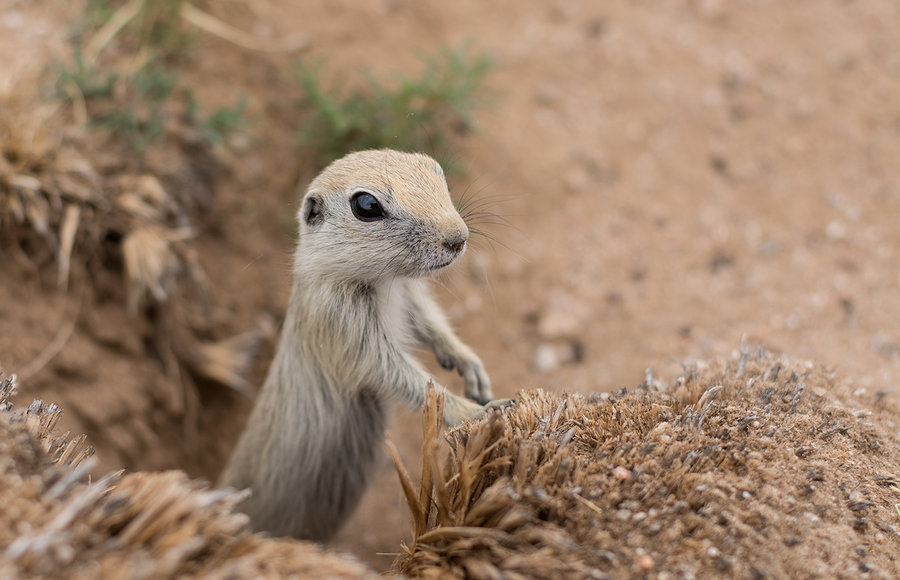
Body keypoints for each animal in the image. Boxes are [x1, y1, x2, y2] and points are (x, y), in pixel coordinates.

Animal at [221, 148, 496, 540]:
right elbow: (405, 378)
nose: (458, 238)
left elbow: (431, 324)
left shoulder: (409, 298)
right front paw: (481, 411)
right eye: (366, 205)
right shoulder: (345, 329)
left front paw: (470, 367)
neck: (384, 283)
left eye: (436, 169)